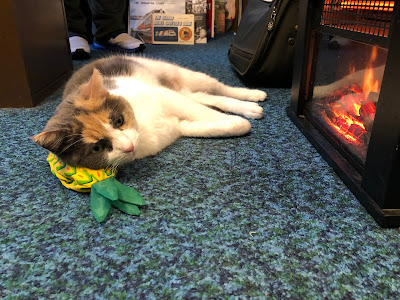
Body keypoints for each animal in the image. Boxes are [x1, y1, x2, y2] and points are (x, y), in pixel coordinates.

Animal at [33, 55, 266, 170]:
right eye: (97, 148)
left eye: (119, 121)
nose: (128, 146)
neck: (143, 128)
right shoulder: (178, 125)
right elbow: (212, 125)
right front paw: (236, 123)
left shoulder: (167, 97)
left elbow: (209, 114)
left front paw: (241, 121)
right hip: (184, 91)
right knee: (205, 97)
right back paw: (250, 107)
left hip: (183, 75)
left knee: (219, 88)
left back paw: (253, 95)